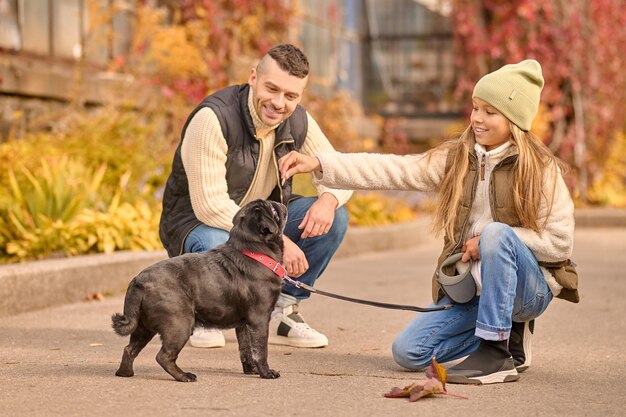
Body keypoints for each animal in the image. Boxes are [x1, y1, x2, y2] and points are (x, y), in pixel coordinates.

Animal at [111, 200, 286, 382]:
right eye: (271, 209)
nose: (275, 202)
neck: (255, 252)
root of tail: (138, 281)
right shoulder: (259, 320)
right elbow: (260, 350)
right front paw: (266, 373)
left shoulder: (244, 325)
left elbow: (246, 350)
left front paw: (251, 370)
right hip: (180, 324)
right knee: (164, 356)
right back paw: (183, 376)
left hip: (144, 327)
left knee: (129, 349)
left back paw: (125, 373)